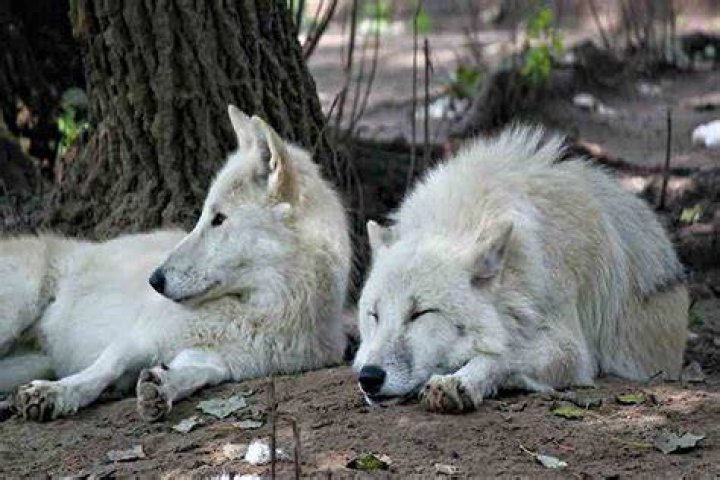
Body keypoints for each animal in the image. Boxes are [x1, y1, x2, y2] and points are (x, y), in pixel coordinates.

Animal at [0, 106, 350, 421]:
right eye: (204, 216)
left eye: (219, 219)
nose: (154, 281)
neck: (262, 310)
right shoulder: (138, 335)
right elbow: (101, 370)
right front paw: (54, 393)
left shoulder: (219, 360)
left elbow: (195, 374)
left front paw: (161, 386)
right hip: (15, 313)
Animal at [353, 126, 688, 413]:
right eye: (374, 315)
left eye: (420, 313)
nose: (369, 377)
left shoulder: (572, 349)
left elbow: (504, 353)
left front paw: (459, 381)